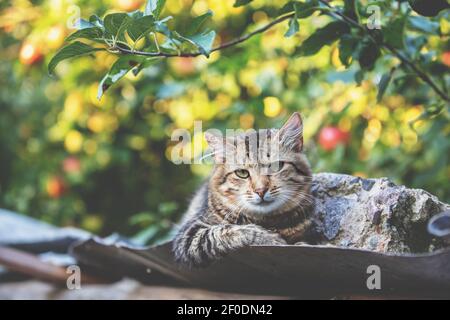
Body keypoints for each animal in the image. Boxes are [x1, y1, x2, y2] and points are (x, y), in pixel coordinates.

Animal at [172, 113, 312, 268]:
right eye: (242, 173)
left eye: (277, 166)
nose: (261, 190)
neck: (266, 221)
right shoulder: (189, 234)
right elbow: (226, 230)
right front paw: (270, 238)